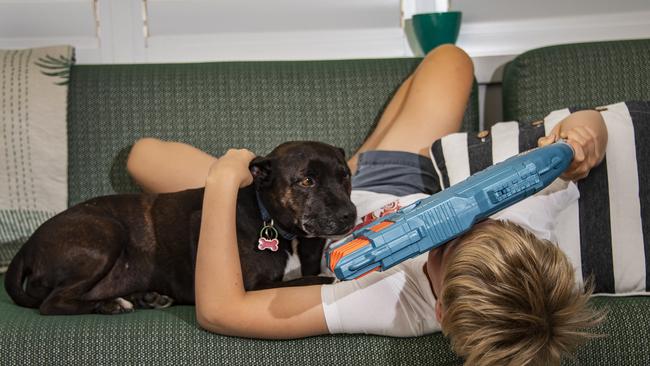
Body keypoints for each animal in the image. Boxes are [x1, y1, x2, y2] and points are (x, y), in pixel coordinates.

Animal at [3, 141, 354, 314]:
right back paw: (112, 304)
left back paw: (144, 298)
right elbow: (311, 280)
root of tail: (26, 247)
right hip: (106, 235)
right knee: (50, 304)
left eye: (345, 176)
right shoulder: (250, 288)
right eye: (306, 181)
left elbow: (308, 273)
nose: (349, 215)